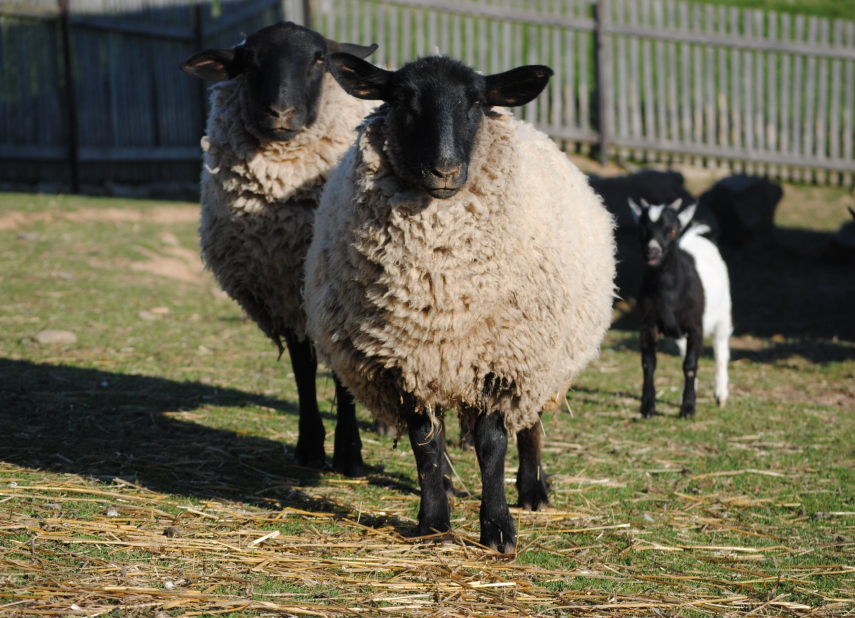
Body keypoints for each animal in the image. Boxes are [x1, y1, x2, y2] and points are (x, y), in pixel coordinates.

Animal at [181, 21, 378, 474]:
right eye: (249, 60)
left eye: (320, 59)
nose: (282, 113)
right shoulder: (284, 290)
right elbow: (303, 369)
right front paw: (309, 447)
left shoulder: (336, 293)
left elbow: (340, 376)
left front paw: (349, 454)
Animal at [304, 54, 620, 552]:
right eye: (401, 98)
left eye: (476, 102)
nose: (445, 170)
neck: (440, 288)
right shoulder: (407, 360)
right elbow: (424, 442)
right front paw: (434, 522)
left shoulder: (502, 358)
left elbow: (492, 443)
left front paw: (498, 528)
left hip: (541, 354)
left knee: (529, 423)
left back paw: (533, 489)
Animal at [624, 197, 732, 418]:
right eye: (641, 231)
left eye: (672, 230)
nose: (652, 250)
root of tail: (697, 236)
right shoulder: (648, 325)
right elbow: (649, 363)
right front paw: (647, 407)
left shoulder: (696, 327)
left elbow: (690, 365)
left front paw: (688, 409)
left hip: (723, 313)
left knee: (720, 348)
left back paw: (720, 394)